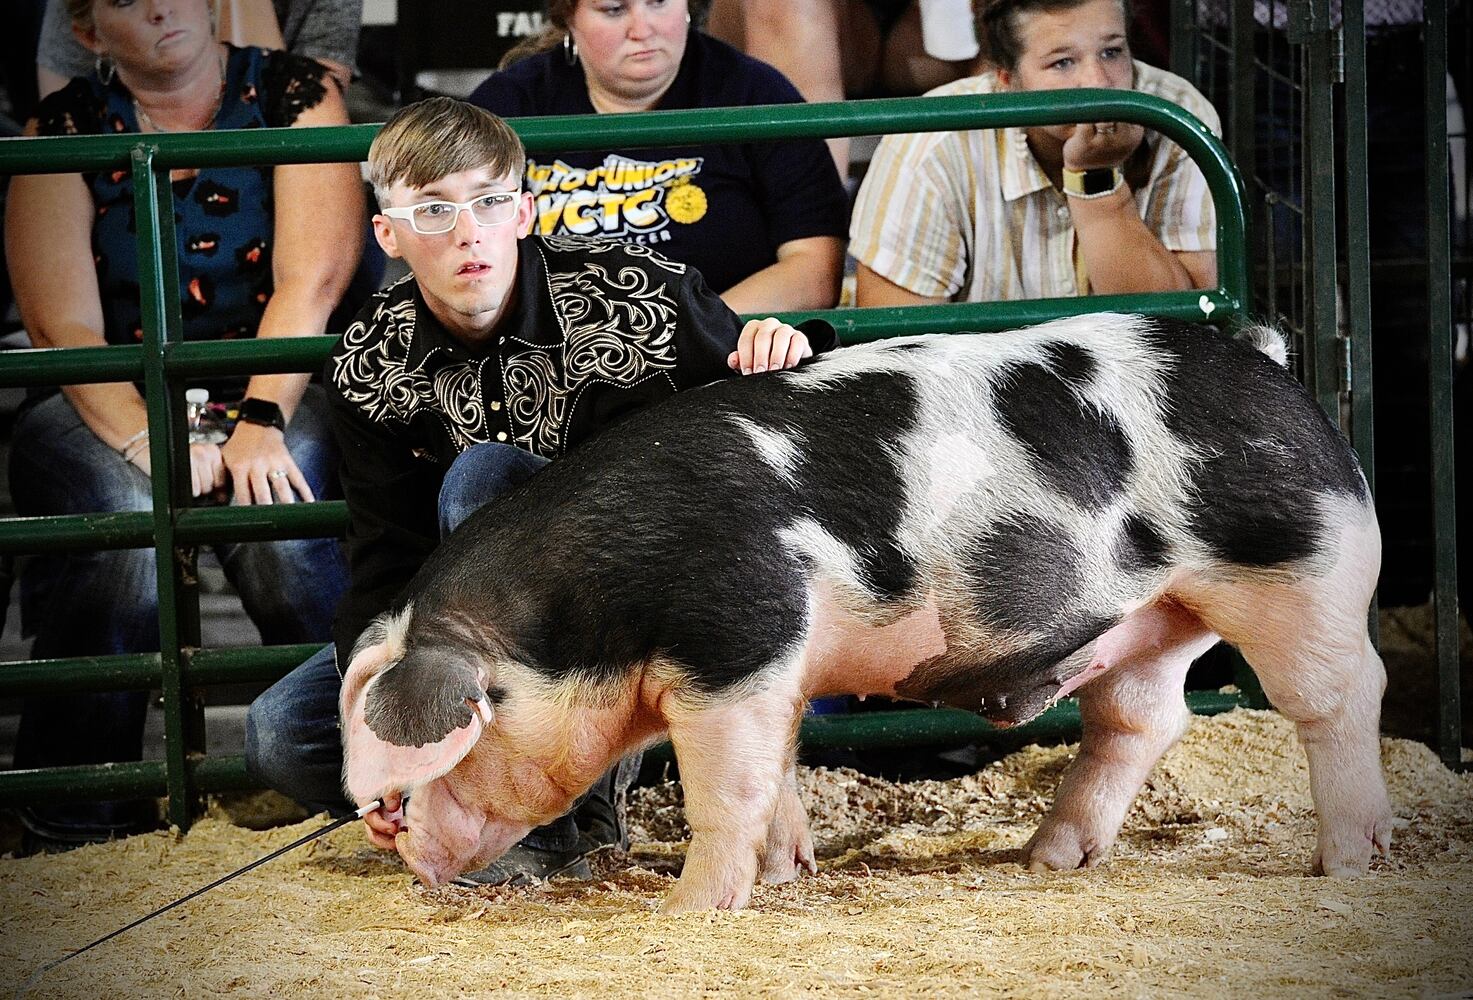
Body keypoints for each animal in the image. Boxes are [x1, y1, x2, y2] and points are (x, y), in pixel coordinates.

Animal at [337, 315, 1390, 913]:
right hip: (1153, 617)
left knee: (1340, 697)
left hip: (1298, 567)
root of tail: (1270, 365)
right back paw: (1049, 860)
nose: (392, 840)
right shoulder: (774, 671)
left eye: (414, 781)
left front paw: (689, 912)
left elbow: (728, 791)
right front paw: (785, 875)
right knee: (1143, 720)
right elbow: (777, 777)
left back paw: (1349, 863)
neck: (582, 609)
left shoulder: (740, 637)